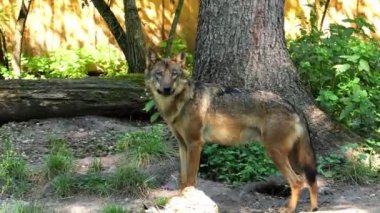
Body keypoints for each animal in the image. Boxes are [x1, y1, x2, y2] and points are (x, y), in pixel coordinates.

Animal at [145, 52, 318, 213]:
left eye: (174, 74)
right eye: (159, 74)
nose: (167, 89)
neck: (182, 102)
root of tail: (294, 106)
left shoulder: (195, 144)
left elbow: (190, 180)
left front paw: (188, 199)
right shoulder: (182, 145)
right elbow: (182, 178)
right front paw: (181, 198)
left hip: (275, 153)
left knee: (297, 181)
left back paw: (289, 209)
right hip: (292, 157)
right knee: (309, 180)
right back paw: (313, 208)